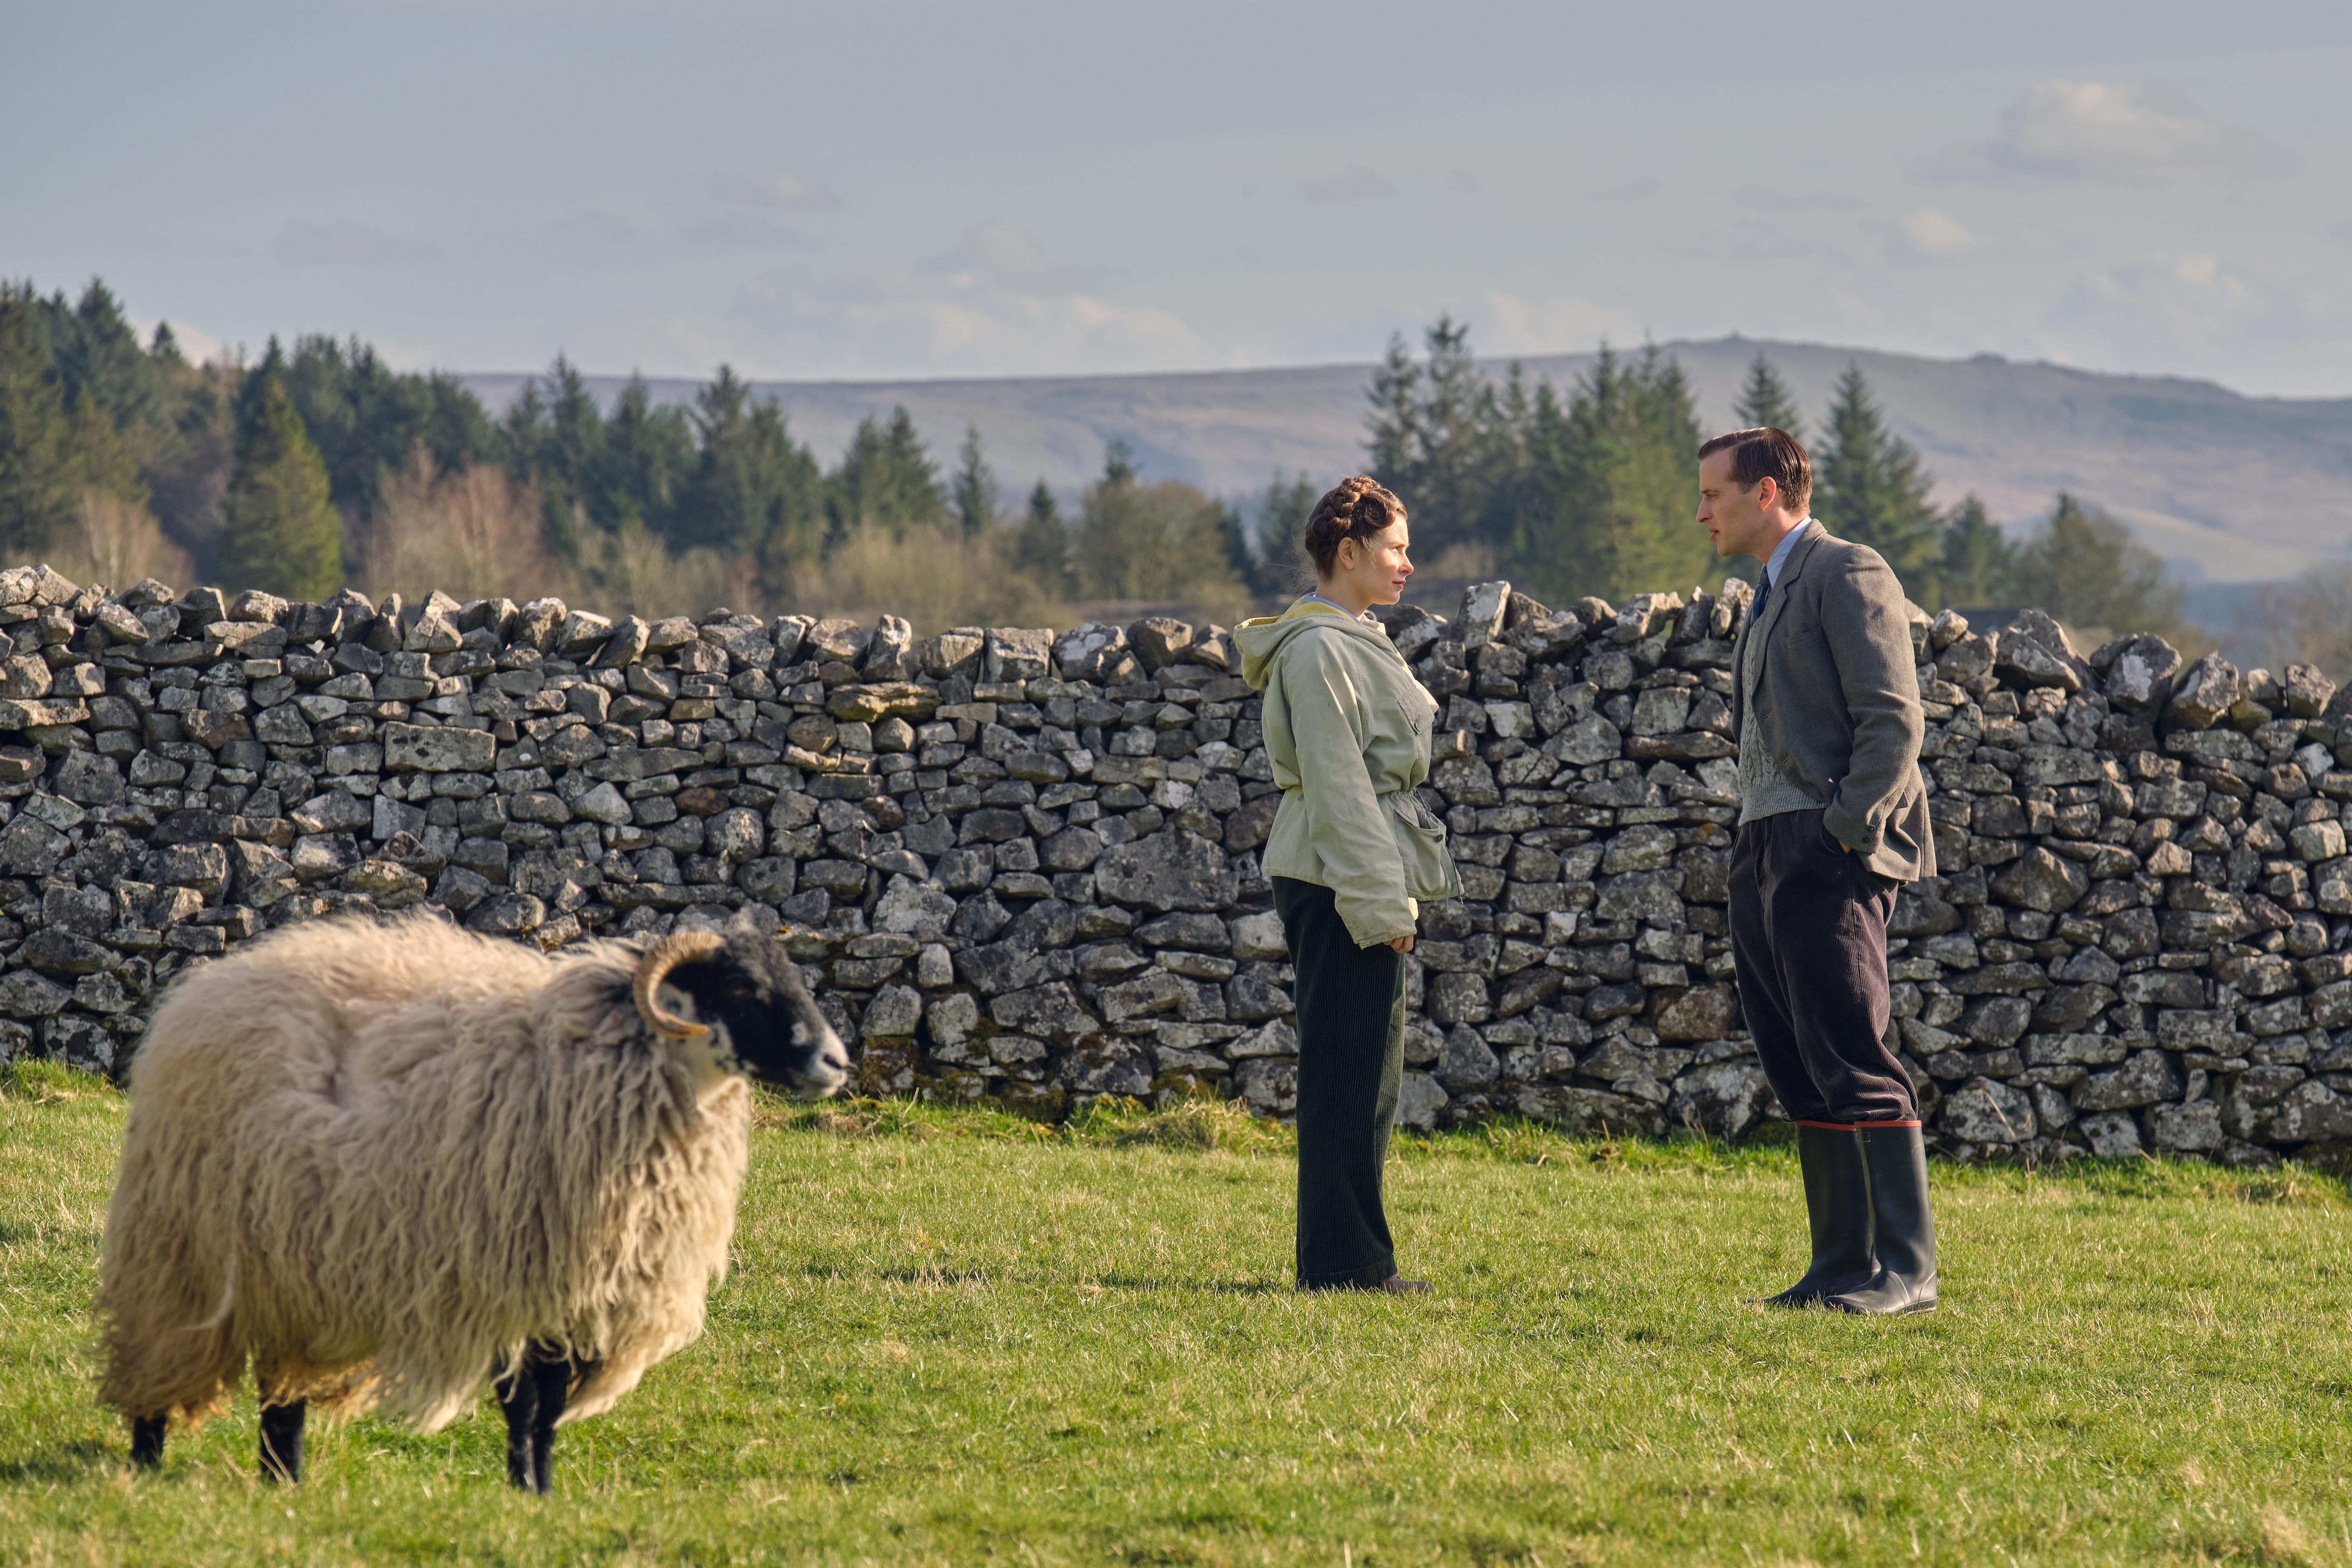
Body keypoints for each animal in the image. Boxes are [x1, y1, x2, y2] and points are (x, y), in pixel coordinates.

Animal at [103, 907, 856, 1495]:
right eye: (740, 984)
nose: (837, 1062)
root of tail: (202, 990)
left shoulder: (574, 1294)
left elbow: (544, 1411)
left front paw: (537, 1494)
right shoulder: (528, 1277)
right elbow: (529, 1409)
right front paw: (530, 1493)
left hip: (288, 1260)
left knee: (280, 1394)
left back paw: (282, 1483)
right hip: (181, 1246)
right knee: (165, 1354)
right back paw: (146, 1466)